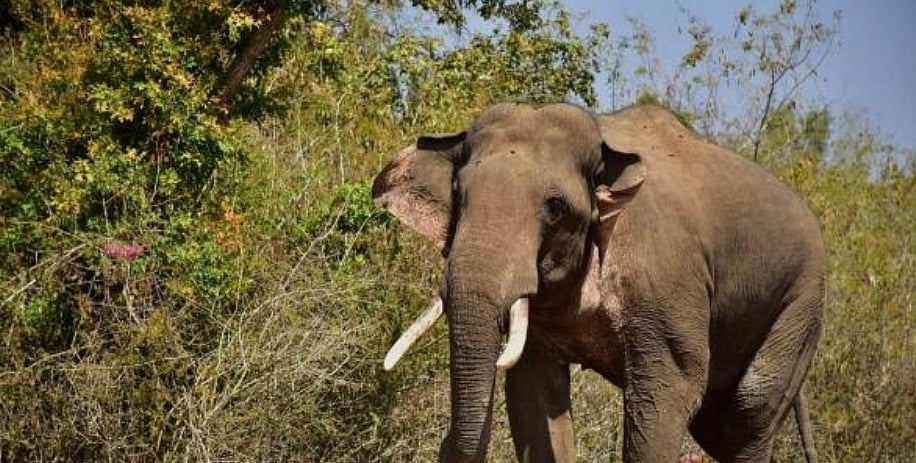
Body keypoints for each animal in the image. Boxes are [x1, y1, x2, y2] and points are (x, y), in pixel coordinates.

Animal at [373, 102, 825, 463]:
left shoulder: (665, 282)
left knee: (747, 412)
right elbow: (535, 395)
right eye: (457, 191)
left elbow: (668, 389)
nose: (446, 444)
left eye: (555, 207)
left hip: (800, 303)